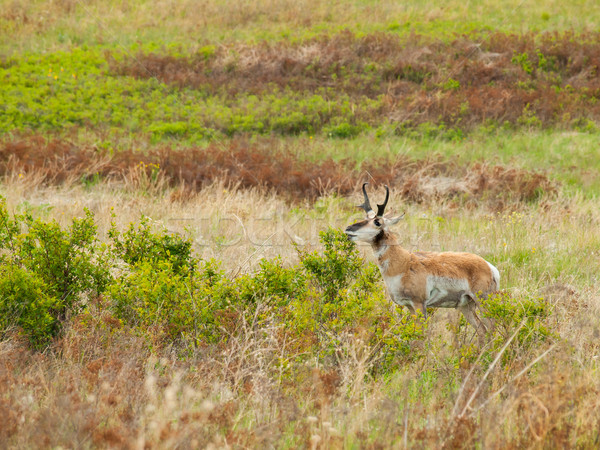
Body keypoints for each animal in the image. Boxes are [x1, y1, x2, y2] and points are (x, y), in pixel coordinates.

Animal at [344, 183, 500, 334]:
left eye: (377, 222)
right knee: (482, 331)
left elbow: (421, 336)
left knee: (493, 328)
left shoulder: (419, 304)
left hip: (483, 302)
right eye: (365, 218)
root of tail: (488, 266)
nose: (348, 229)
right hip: (465, 306)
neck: (403, 263)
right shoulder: (410, 306)